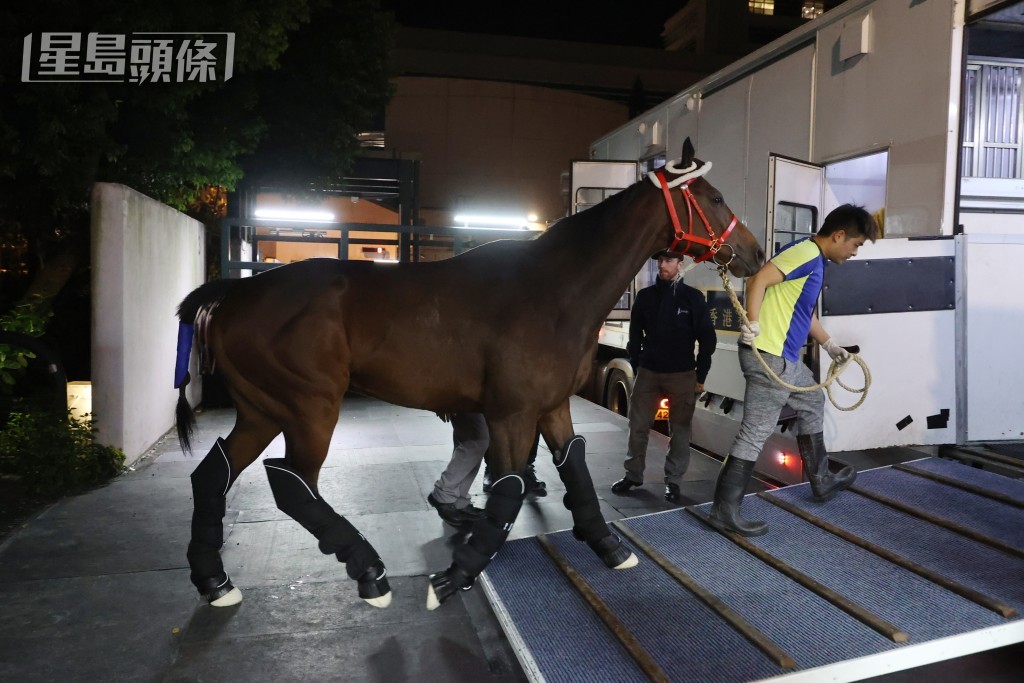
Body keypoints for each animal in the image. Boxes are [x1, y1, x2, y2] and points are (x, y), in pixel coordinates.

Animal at [173, 138, 764, 611]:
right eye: (714, 197)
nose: (755, 252)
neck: (553, 291)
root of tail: (237, 292)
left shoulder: (551, 406)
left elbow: (575, 470)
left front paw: (608, 547)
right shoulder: (511, 413)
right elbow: (507, 490)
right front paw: (454, 576)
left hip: (264, 409)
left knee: (213, 474)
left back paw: (214, 580)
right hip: (309, 408)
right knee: (293, 484)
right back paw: (369, 571)